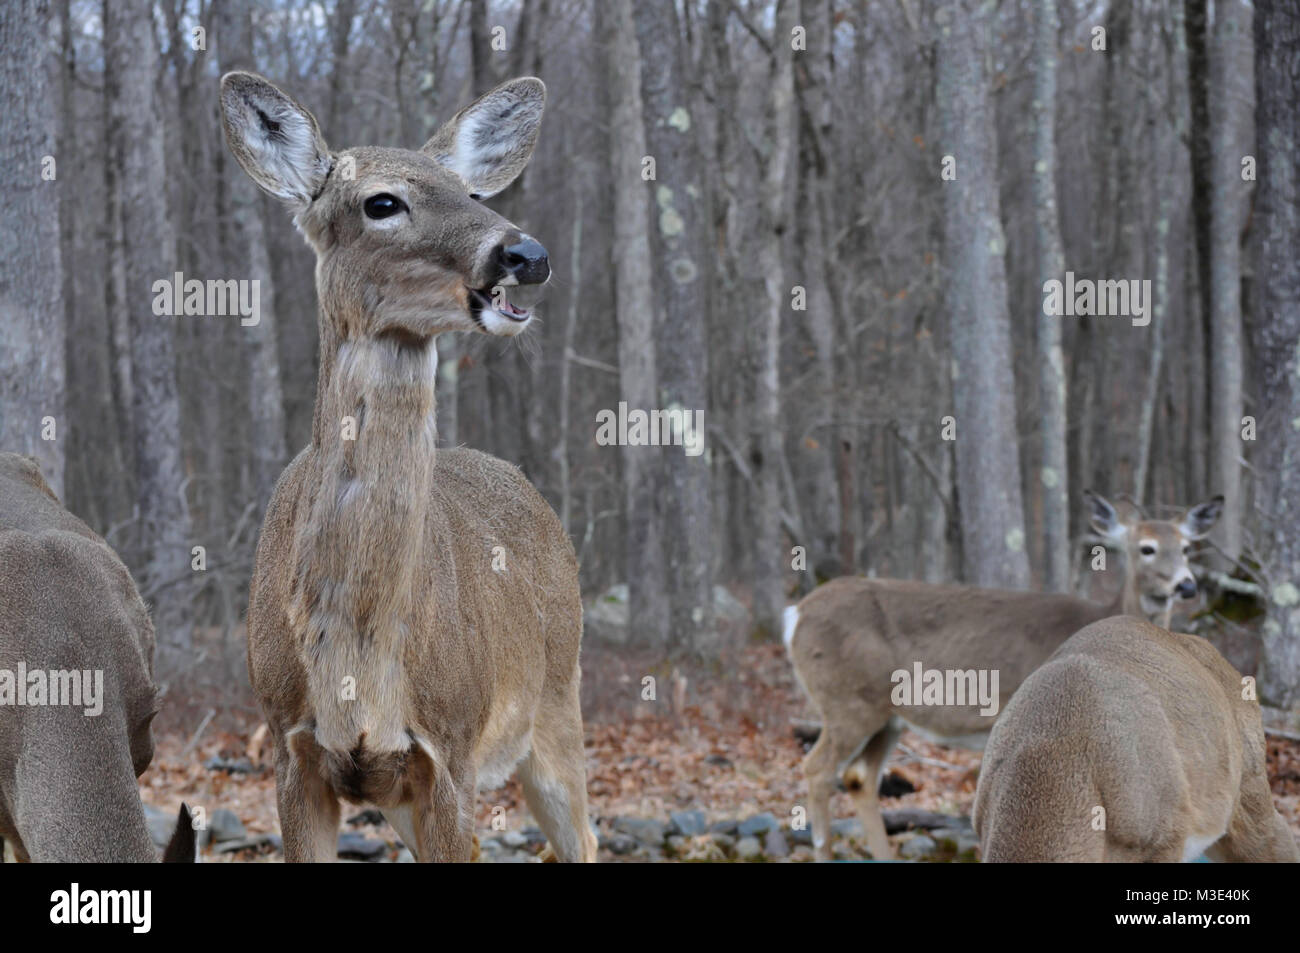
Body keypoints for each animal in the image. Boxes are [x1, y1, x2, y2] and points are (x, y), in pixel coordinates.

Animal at [223, 74, 598, 863]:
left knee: (584, 832)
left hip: (557, 698)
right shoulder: (291, 752)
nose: (526, 253)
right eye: (382, 202)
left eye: (472, 191)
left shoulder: (452, 750)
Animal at [780, 494, 1227, 858]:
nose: (1187, 586)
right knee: (818, 769)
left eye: (1186, 547)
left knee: (859, 778)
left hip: (886, 716)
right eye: (1146, 548)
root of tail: (795, 614)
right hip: (847, 701)